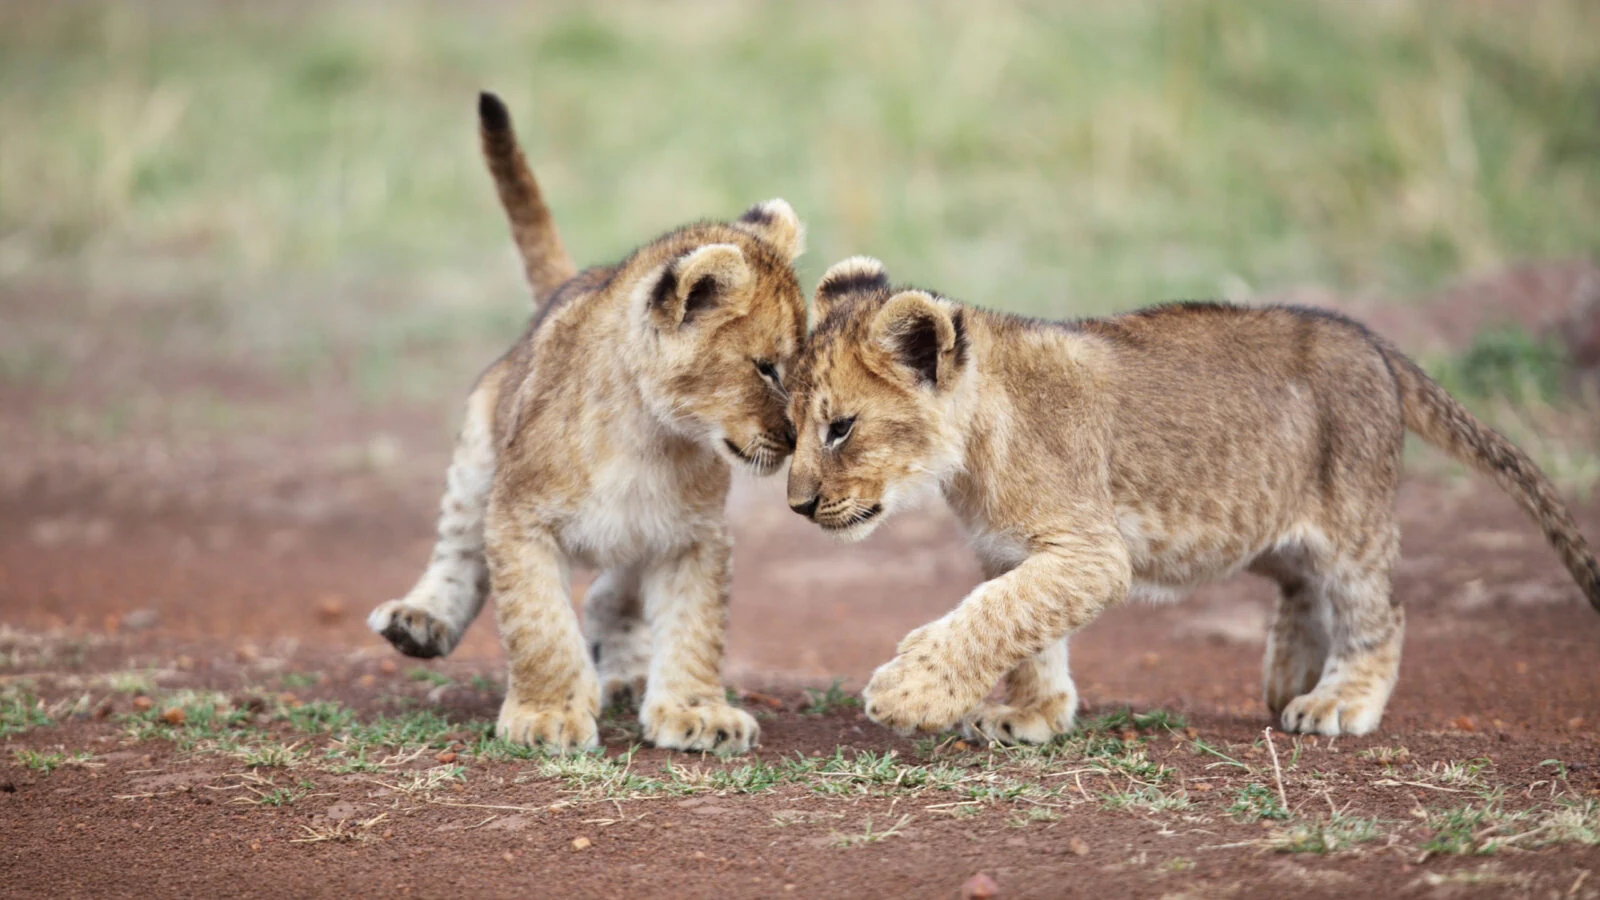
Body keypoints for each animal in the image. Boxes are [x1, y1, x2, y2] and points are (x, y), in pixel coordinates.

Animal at [367, 92, 807, 753]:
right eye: (766, 368)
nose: (800, 439)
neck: (652, 438)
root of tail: (569, 285)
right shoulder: (518, 519)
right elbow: (540, 626)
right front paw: (546, 715)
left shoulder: (696, 537)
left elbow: (696, 627)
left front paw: (697, 712)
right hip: (478, 454)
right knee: (459, 552)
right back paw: (418, 622)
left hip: (636, 538)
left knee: (609, 593)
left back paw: (625, 670)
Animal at [784, 256, 1600, 741]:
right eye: (791, 426)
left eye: (840, 427)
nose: (796, 505)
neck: (970, 452)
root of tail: (1367, 340)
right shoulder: (1013, 552)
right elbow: (1026, 632)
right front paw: (1030, 713)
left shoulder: (1091, 552)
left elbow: (994, 619)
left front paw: (908, 694)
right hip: (1263, 528)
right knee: (1302, 584)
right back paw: (1290, 675)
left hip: (1351, 521)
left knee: (1379, 611)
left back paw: (1336, 701)